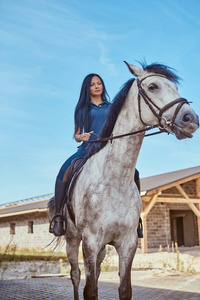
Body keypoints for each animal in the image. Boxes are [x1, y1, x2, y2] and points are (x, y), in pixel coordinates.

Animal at [48, 61, 198, 300]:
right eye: (153, 86)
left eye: (174, 87)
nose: (190, 119)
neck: (114, 180)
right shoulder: (90, 241)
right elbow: (90, 290)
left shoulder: (127, 243)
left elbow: (124, 288)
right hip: (72, 240)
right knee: (76, 275)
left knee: (96, 271)